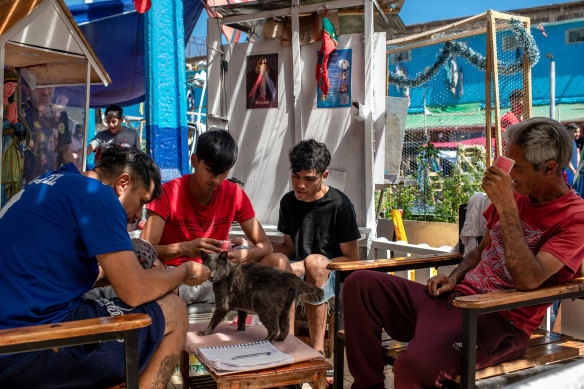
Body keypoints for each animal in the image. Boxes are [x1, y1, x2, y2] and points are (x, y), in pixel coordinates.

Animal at [196, 250, 324, 342]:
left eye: (218, 269)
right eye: (208, 268)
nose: (211, 276)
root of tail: (284, 275)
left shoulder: (222, 305)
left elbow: (213, 320)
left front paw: (204, 332)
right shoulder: (241, 306)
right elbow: (241, 318)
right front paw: (240, 330)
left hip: (264, 307)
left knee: (274, 328)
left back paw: (265, 341)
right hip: (285, 309)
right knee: (285, 328)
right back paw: (279, 339)